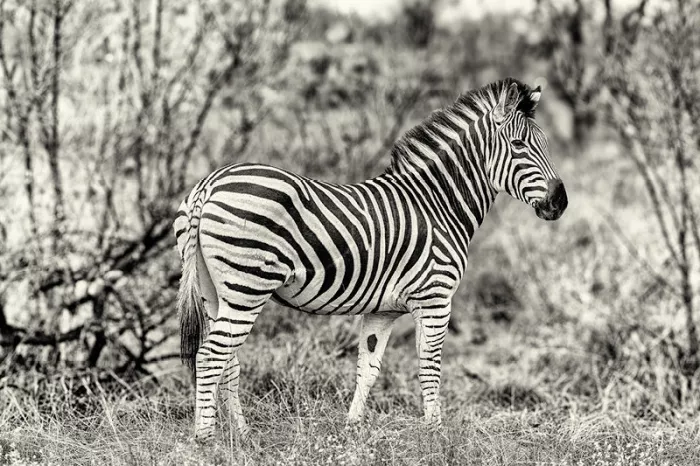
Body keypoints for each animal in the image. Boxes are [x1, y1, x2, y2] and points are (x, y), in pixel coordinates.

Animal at [173, 77, 568, 442]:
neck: (437, 203)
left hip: (215, 292)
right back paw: (206, 438)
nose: (559, 203)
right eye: (518, 145)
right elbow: (430, 365)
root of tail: (209, 184)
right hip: (247, 286)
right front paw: (435, 433)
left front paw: (353, 427)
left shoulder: (383, 310)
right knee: (210, 356)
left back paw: (240, 434)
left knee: (228, 360)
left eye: (545, 145)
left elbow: (369, 366)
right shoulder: (435, 297)